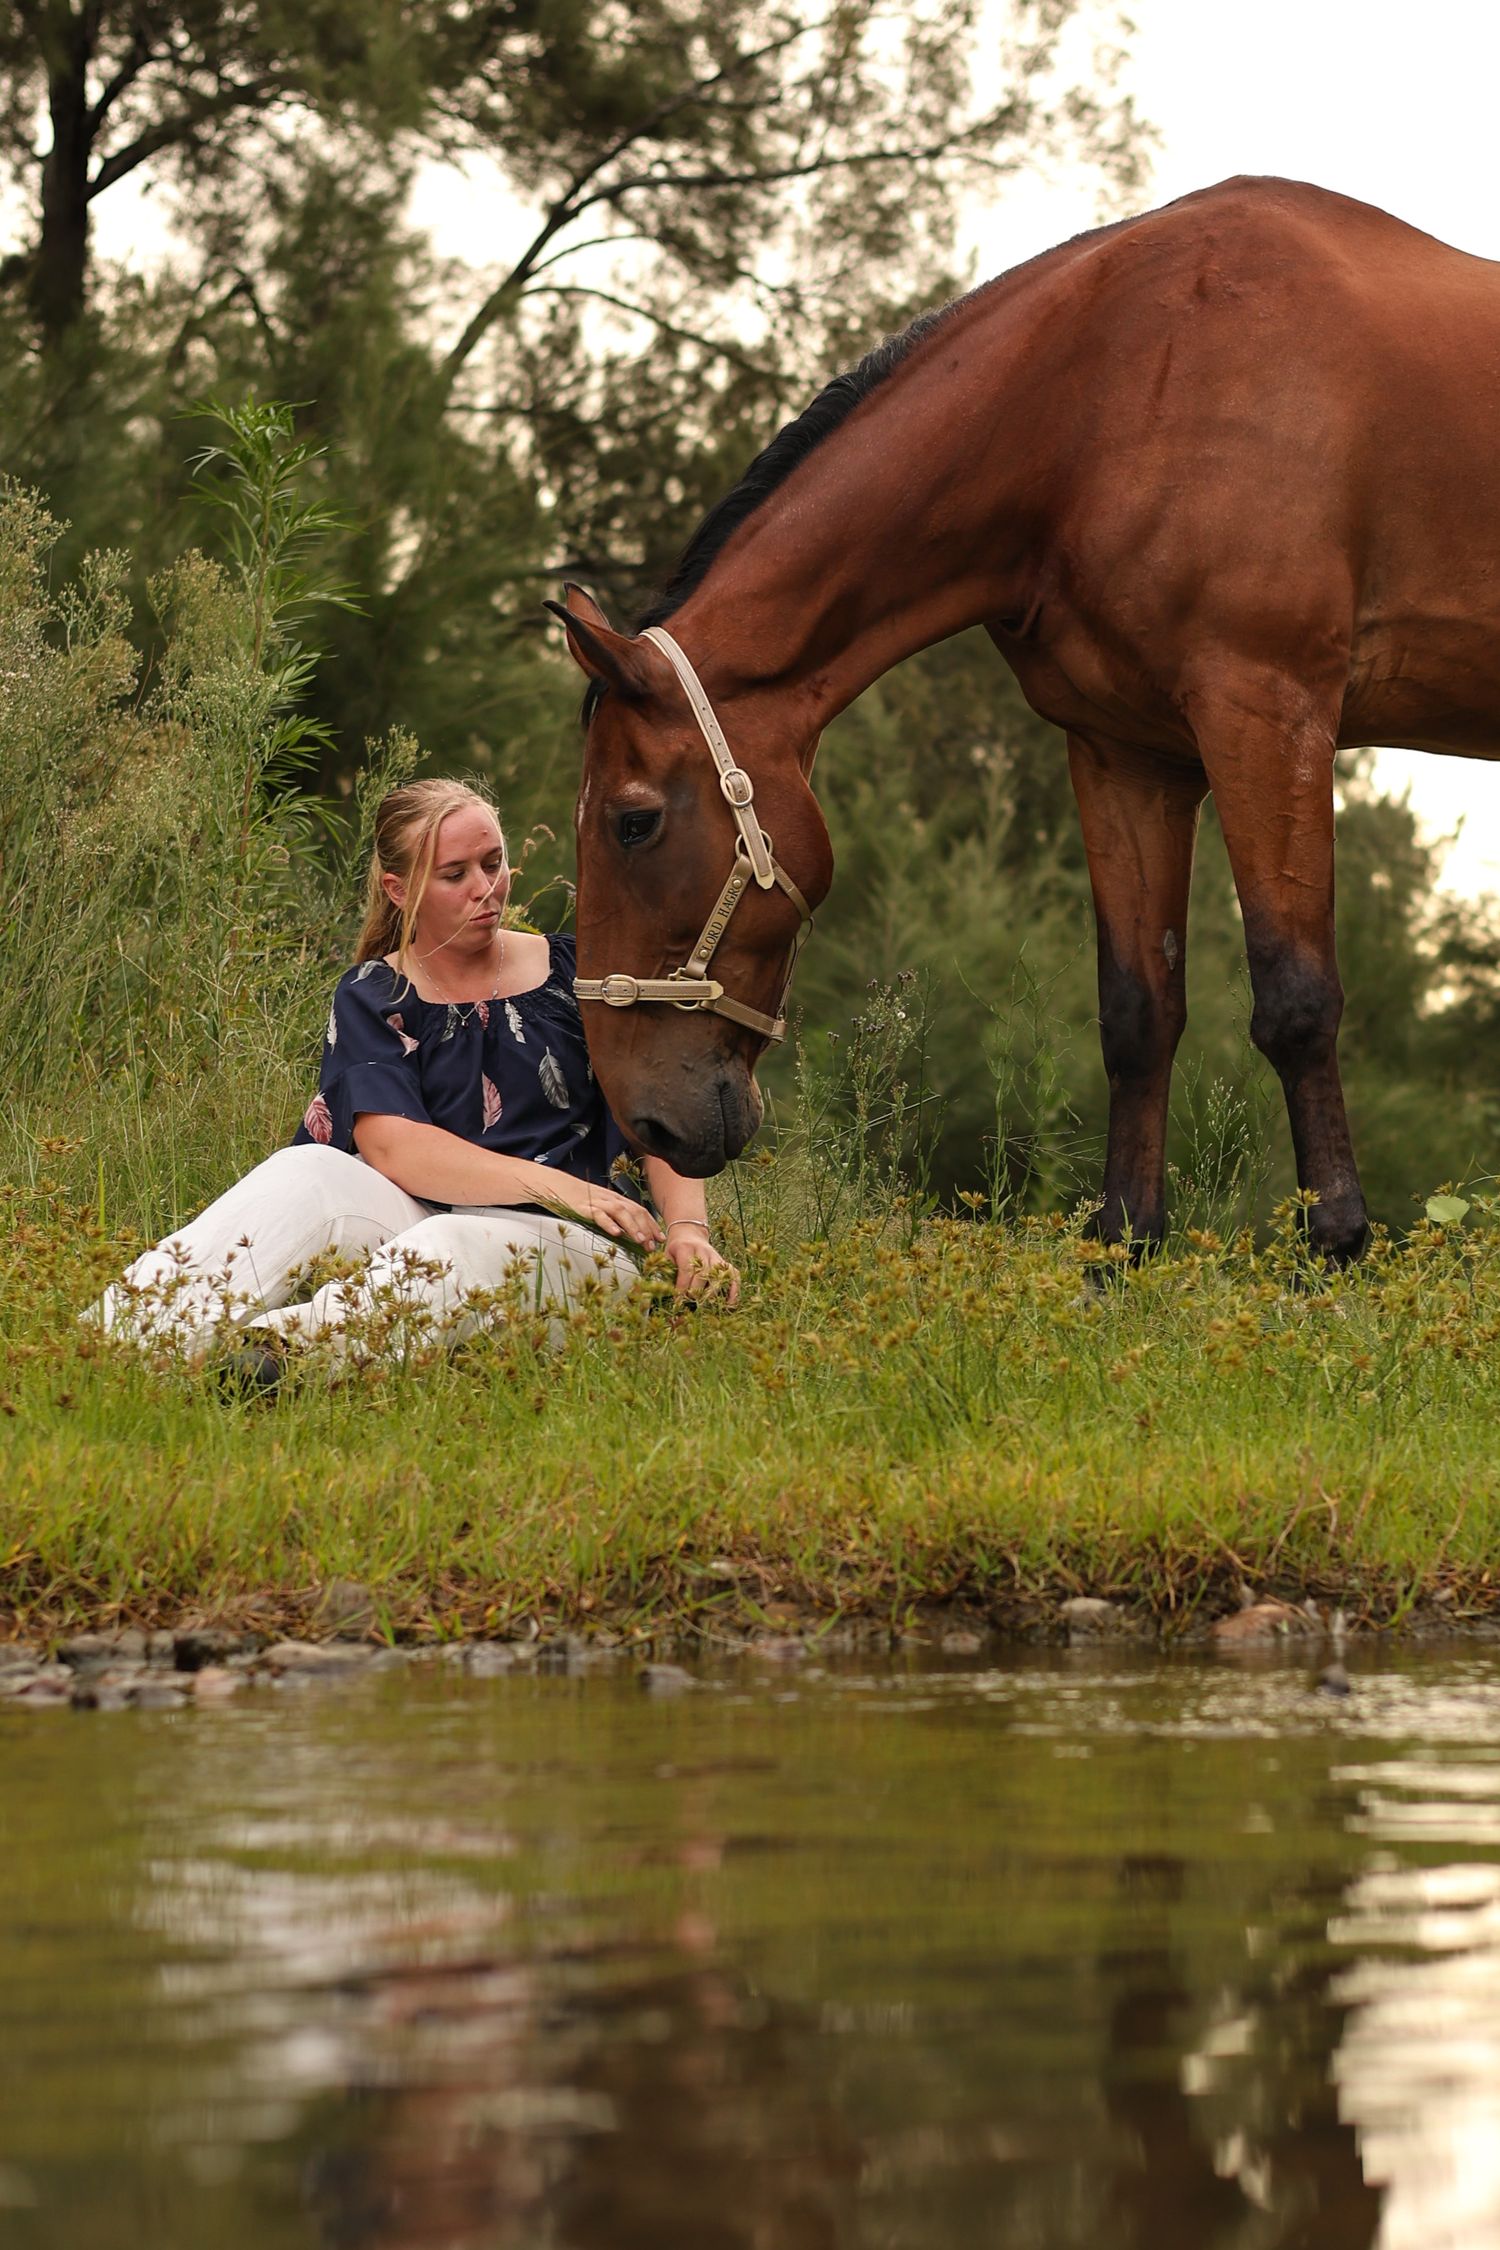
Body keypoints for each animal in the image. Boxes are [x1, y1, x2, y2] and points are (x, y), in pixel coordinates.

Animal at [547, 176, 1500, 1261]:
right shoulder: (1128, 754)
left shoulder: (1268, 711)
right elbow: (1138, 1010)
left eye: (634, 822)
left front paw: (1334, 1247)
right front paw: (1121, 1253)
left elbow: (1296, 994)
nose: (644, 1119)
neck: (1117, 393)